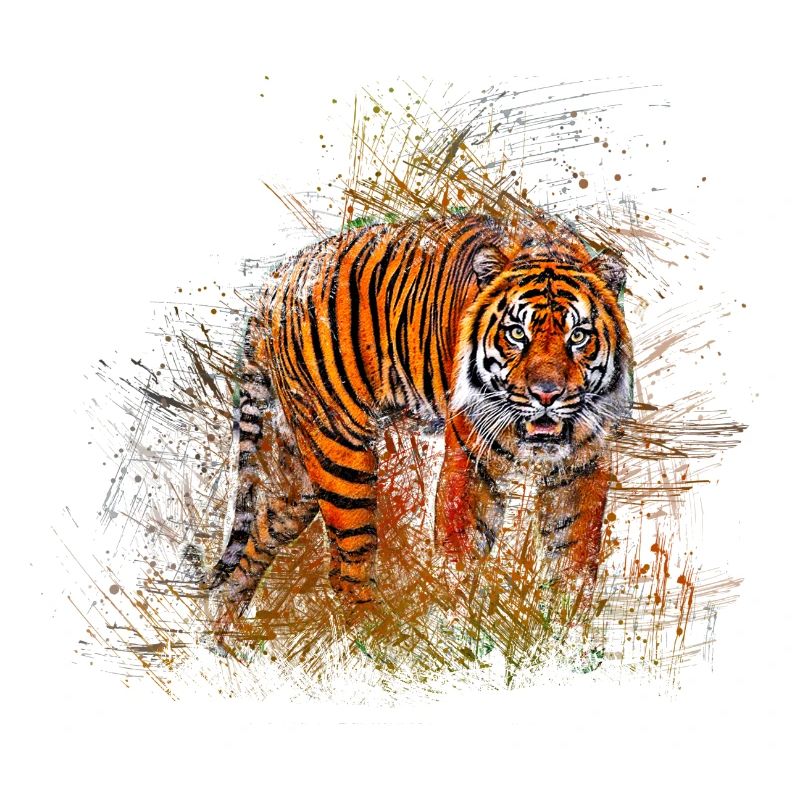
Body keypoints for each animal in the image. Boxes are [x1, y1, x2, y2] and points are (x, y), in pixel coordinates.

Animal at [203, 212, 633, 630]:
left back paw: (223, 638)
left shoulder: (583, 466)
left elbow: (575, 558)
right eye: (516, 333)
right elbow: (461, 558)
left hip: (298, 471)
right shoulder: (469, 462)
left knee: (259, 537)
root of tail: (277, 281)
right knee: (349, 568)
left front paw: (565, 631)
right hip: (339, 452)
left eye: (578, 336)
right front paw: (459, 630)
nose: (546, 394)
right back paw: (380, 640)